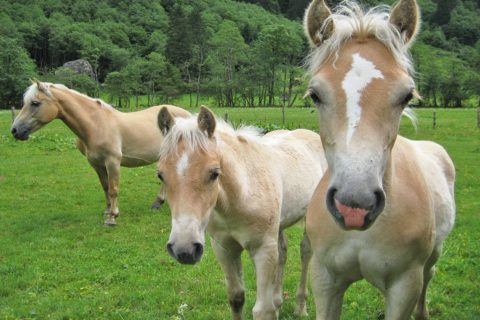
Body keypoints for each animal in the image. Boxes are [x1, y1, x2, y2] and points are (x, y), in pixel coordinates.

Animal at [11, 80, 191, 225]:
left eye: (35, 103)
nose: (15, 130)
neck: (96, 124)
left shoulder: (112, 162)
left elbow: (113, 188)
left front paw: (112, 217)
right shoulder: (96, 164)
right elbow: (105, 187)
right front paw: (107, 211)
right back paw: (157, 203)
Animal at [156, 106, 328, 318]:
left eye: (214, 173)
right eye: (160, 175)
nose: (184, 249)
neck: (241, 196)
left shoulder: (263, 249)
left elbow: (263, 310)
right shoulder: (224, 249)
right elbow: (236, 299)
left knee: (305, 251)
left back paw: (300, 308)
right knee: (283, 250)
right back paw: (279, 302)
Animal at [302, 0, 456, 318]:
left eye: (406, 96)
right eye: (315, 95)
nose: (354, 206)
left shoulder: (404, 286)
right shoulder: (324, 279)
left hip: (432, 258)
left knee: (429, 278)